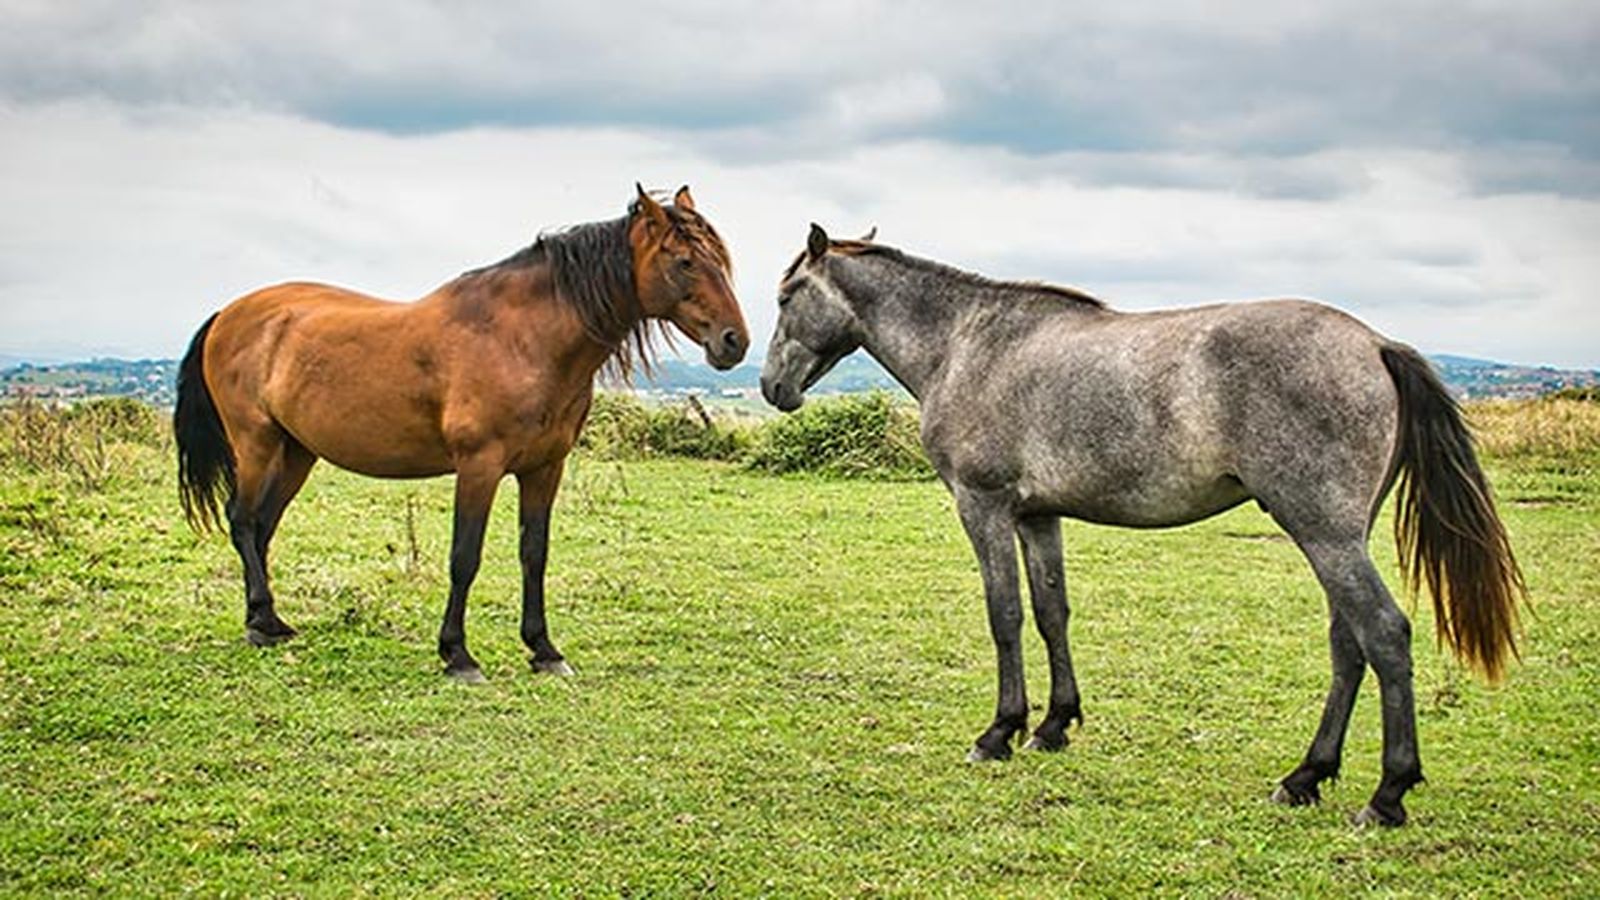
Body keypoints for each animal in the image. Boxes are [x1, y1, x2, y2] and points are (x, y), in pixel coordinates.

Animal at [175, 185, 749, 683]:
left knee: (263, 526)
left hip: (297, 452)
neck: (522, 340)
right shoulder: (480, 465)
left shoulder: (545, 468)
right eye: (684, 261)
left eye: (721, 259)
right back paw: (261, 623)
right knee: (243, 520)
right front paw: (457, 655)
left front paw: (544, 650)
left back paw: (266, 620)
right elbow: (464, 556)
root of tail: (228, 313)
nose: (734, 342)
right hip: (256, 443)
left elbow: (534, 553)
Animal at [760, 224, 1525, 826]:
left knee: (1384, 634)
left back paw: (1387, 795)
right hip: (1337, 537)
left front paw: (999, 732)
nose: (771, 388)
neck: (967, 344)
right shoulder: (1038, 516)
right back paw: (1305, 777)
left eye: (786, 297)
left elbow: (1005, 615)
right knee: (1349, 642)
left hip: (1324, 534)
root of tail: (1375, 344)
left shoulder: (984, 506)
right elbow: (1052, 613)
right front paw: (1053, 726)